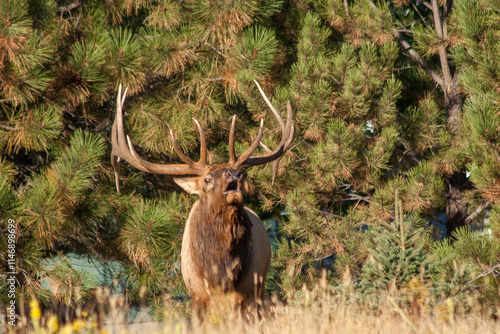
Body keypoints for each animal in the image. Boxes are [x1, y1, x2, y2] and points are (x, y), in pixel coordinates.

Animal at [110, 81, 292, 308]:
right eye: (207, 179)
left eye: (244, 173)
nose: (234, 173)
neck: (220, 275)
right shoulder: (196, 295)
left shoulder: (248, 294)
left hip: (261, 287)